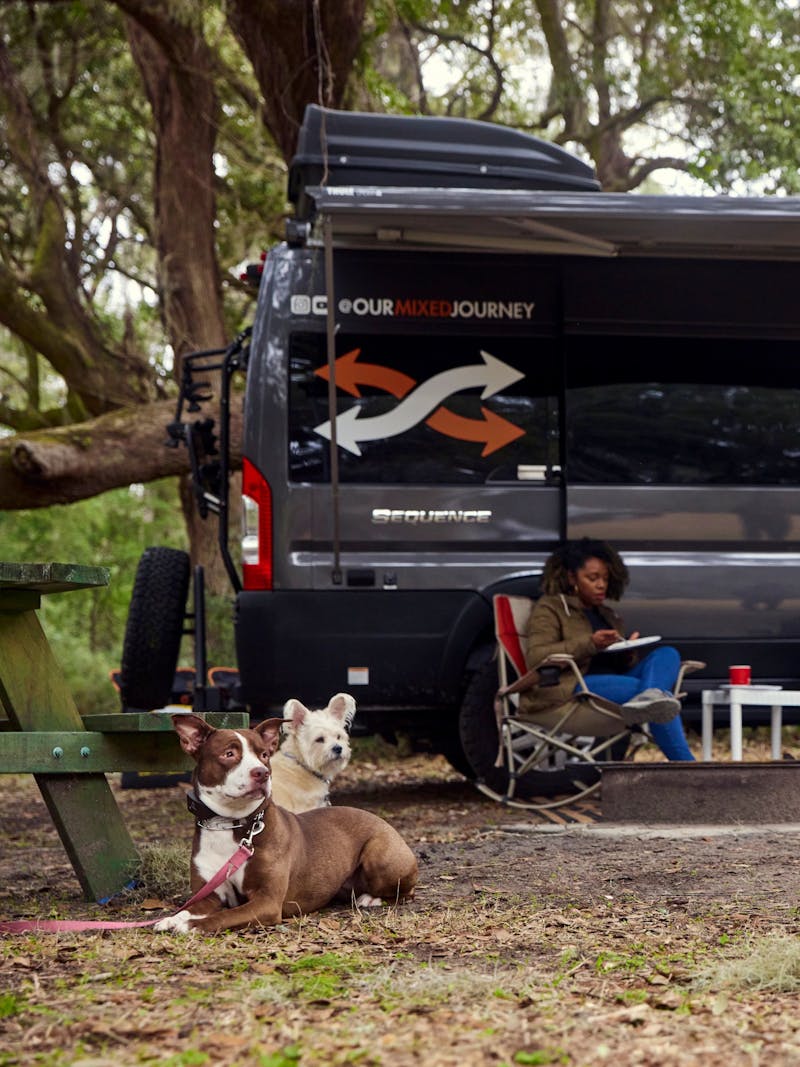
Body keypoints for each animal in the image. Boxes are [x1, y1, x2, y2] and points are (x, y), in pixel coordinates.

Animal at [155, 717, 420, 934]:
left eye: (264, 755)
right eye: (229, 754)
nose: (261, 772)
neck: (230, 824)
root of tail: (384, 822)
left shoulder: (267, 902)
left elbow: (226, 915)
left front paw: (190, 925)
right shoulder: (209, 895)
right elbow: (190, 908)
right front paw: (172, 919)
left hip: (380, 856)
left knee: (405, 892)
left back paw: (371, 899)